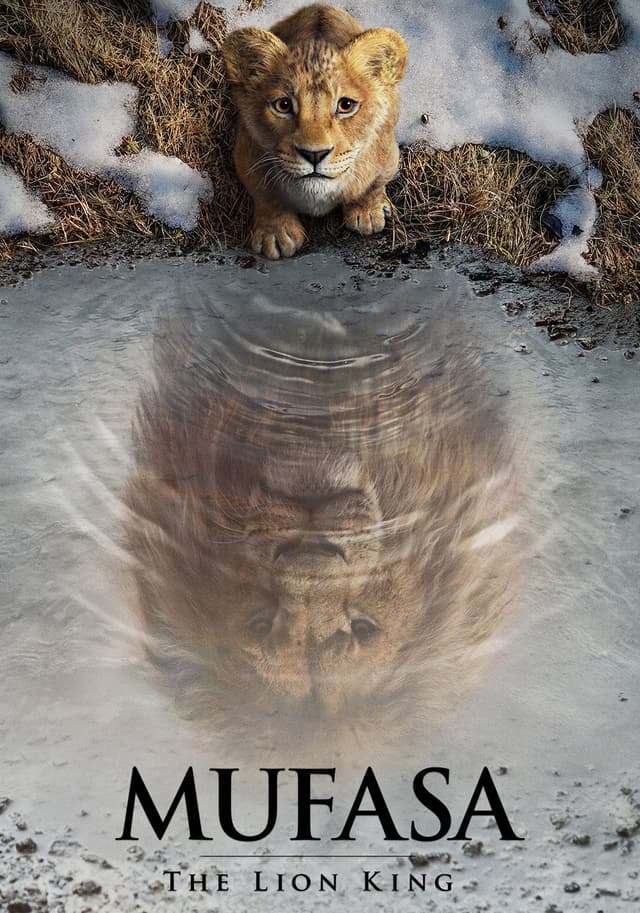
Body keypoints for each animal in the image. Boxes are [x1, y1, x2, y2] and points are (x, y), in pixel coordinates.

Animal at [223, 4, 408, 259]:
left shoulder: (388, 154)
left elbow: (372, 185)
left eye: (346, 105)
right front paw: (276, 234)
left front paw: (367, 213)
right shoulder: (246, 154)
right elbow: (265, 195)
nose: (314, 154)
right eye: (283, 105)